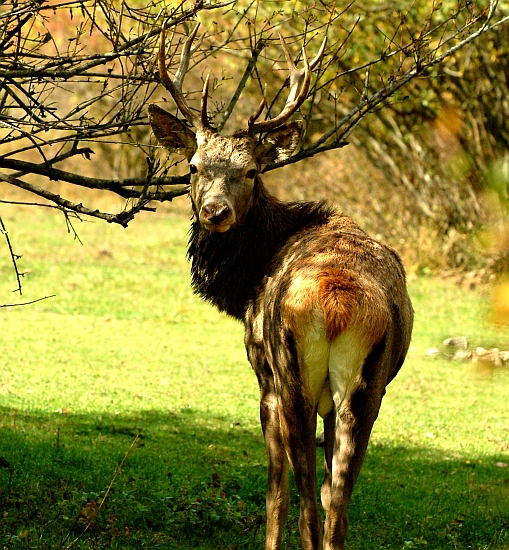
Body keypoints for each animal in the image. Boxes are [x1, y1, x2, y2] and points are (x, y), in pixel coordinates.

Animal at [147, 23, 412, 550]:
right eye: (194, 166)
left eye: (251, 171)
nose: (216, 212)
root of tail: (338, 303)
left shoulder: (261, 374)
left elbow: (275, 493)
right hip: (367, 391)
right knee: (337, 504)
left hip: (291, 376)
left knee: (306, 501)